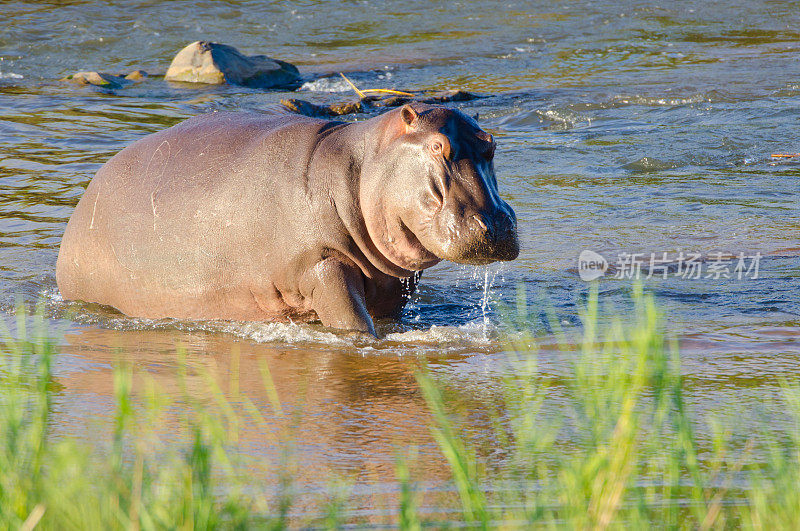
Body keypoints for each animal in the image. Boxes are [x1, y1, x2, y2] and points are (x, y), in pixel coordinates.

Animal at [56, 104, 520, 336]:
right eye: (439, 146)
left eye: (492, 144)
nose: (497, 223)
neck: (360, 166)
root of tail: (87, 195)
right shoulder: (322, 265)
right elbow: (354, 324)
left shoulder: (392, 282)